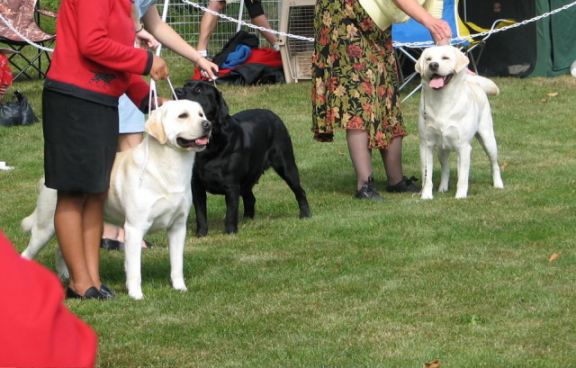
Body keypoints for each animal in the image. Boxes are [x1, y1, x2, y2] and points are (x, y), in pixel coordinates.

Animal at [22, 100, 214, 300]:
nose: (208, 125)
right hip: (44, 227)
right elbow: (134, 269)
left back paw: (66, 277)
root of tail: (44, 178)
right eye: (183, 116)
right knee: (28, 253)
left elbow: (177, 264)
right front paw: (136, 295)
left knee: (63, 249)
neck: (171, 168)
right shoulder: (135, 228)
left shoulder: (178, 227)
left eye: (201, 114)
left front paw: (180, 288)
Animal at [176, 80, 310, 236]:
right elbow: (201, 213)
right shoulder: (196, 185)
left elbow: (231, 212)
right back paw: (247, 219)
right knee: (250, 198)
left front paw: (230, 232)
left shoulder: (231, 185)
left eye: (198, 90)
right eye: (185, 85)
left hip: (286, 165)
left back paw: (305, 214)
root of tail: (274, 115)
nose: (178, 91)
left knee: (299, 191)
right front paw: (201, 234)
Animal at [414, 46, 504, 201]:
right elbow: (427, 176)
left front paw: (461, 196)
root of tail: (473, 82)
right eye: (428, 59)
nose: (433, 65)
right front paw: (426, 195)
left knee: (494, 164)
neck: (442, 100)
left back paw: (498, 184)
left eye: (445, 58)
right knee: (445, 168)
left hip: (488, 139)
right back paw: (443, 188)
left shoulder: (463, 146)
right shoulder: (426, 145)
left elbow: (462, 176)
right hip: (442, 149)